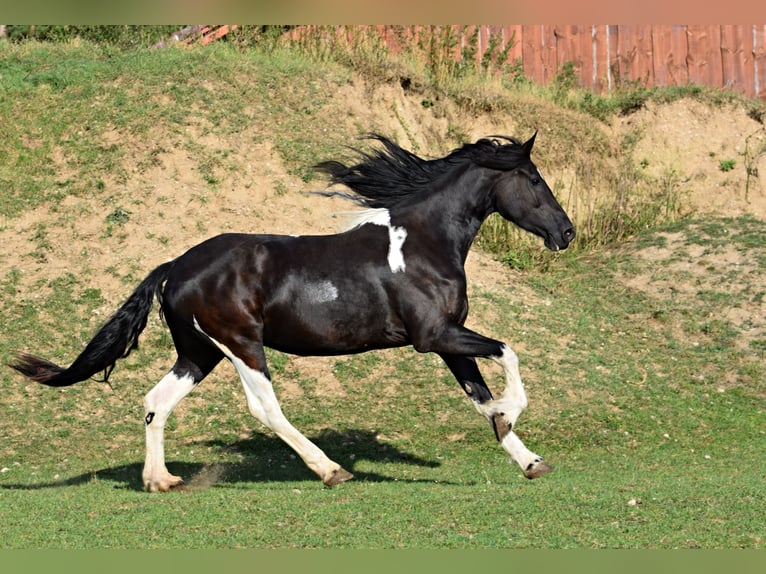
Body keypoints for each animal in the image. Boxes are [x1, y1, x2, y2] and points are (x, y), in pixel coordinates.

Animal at [10, 133, 576, 492]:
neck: (424, 242)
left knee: (156, 401)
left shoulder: (448, 339)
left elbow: (480, 398)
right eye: (533, 179)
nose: (567, 232)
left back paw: (160, 480)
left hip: (198, 353)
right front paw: (510, 415)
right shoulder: (435, 336)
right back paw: (330, 470)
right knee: (266, 408)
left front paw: (527, 458)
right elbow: (508, 353)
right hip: (241, 344)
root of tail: (176, 267)